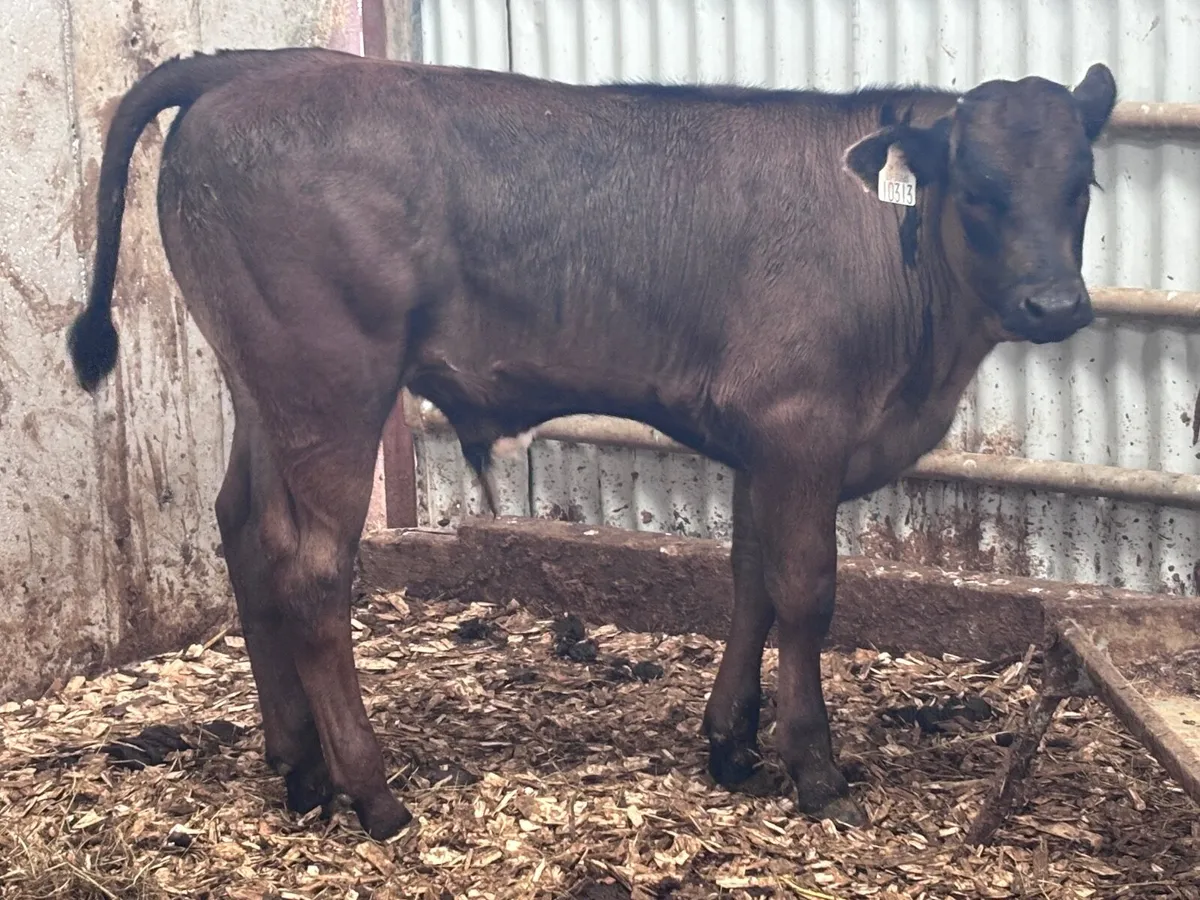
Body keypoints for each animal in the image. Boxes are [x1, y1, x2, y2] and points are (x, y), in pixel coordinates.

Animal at [67, 47, 1117, 840]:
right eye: (975, 187)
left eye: (1082, 184)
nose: (1054, 304)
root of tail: (255, 63)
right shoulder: (801, 429)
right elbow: (806, 596)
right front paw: (815, 772)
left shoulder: (759, 443)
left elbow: (747, 579)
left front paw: (730, 743)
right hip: (329, 385)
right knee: (312, 567)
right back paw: (373, 793)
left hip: (263, 388)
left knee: (243, 532)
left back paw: (299, 767)